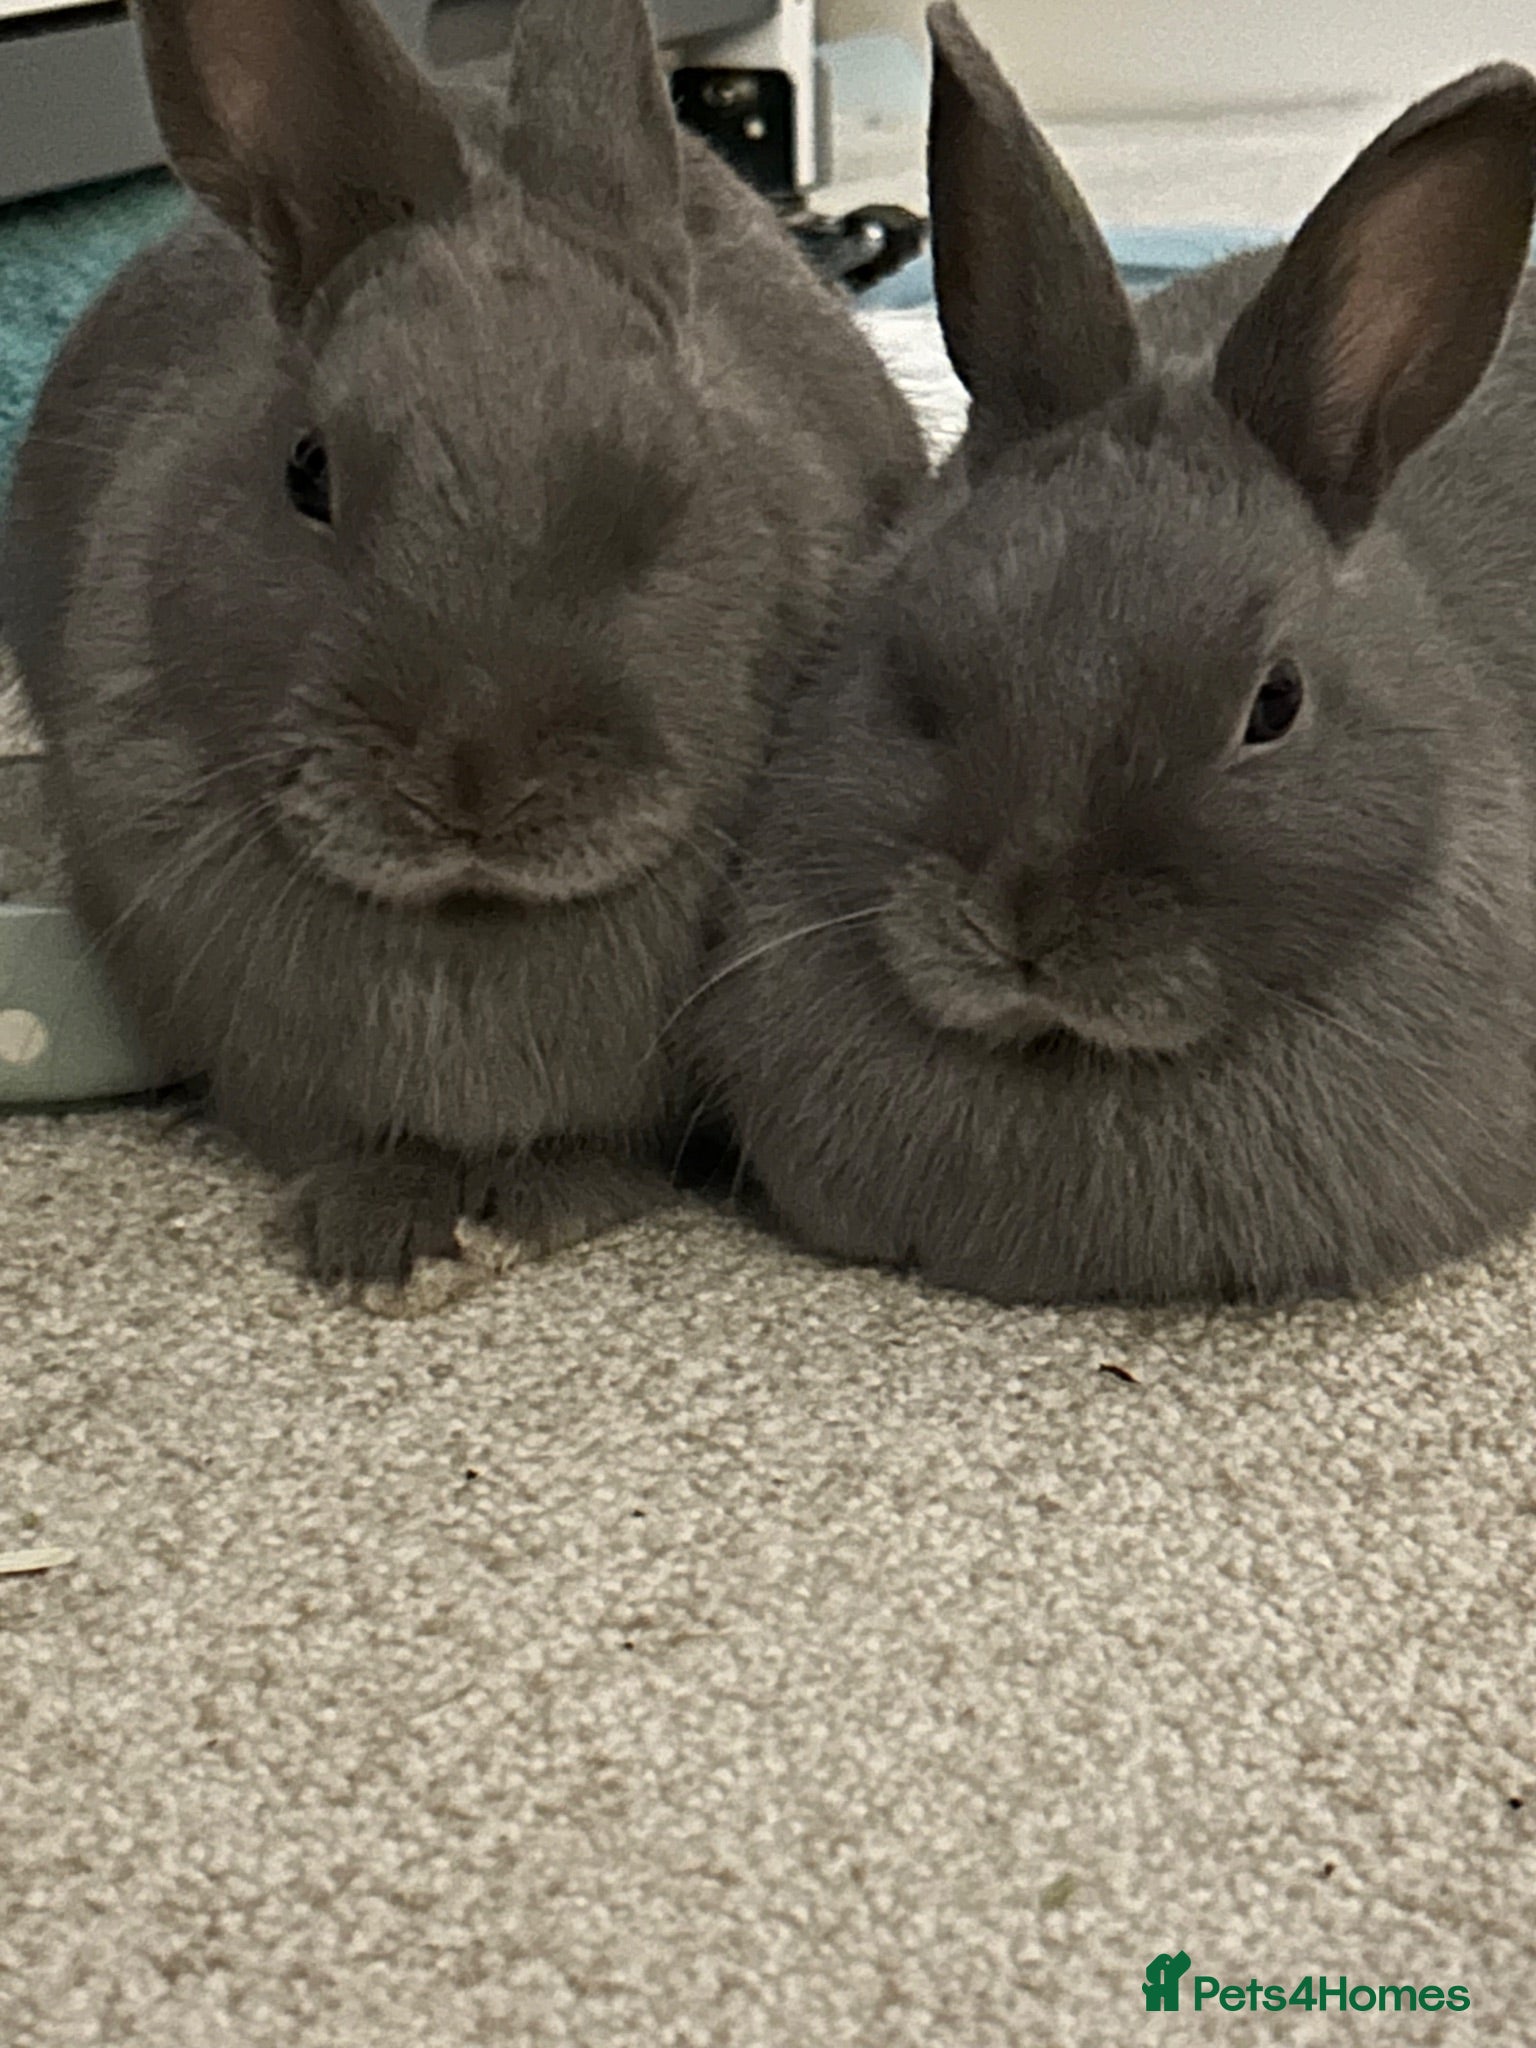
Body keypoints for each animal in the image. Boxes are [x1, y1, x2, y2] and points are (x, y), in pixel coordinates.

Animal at [0, 0, 927, 1284]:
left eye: (672, 480)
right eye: (308, 470)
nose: (475, 775)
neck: (472, 918)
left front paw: (551, 1206)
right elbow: (354, 1138)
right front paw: (377, 1242)